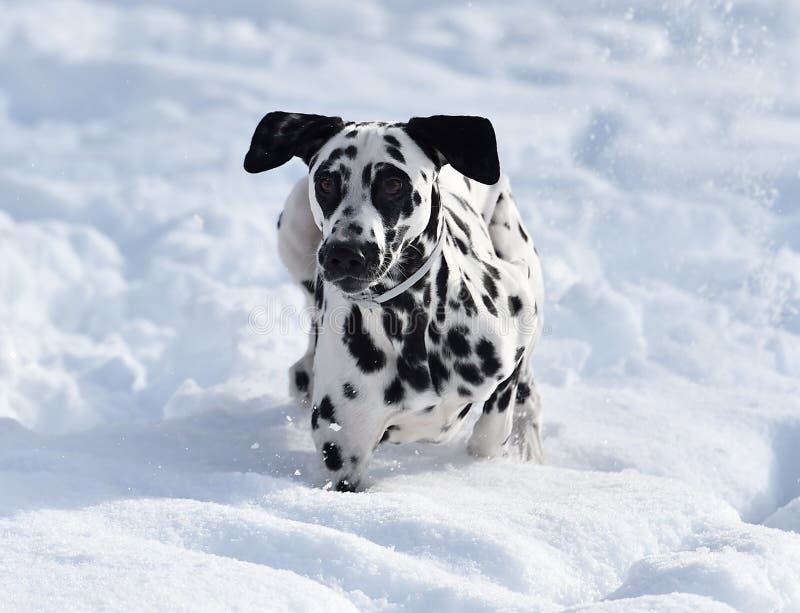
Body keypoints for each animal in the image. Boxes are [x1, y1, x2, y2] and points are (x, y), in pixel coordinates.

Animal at [244, 112, 544, 490]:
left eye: (392, 183)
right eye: (326, 182)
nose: (345, 253)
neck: (409, 322)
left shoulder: (520, 310)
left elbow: (490, 432)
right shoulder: (345, 459)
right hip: (295, 225)